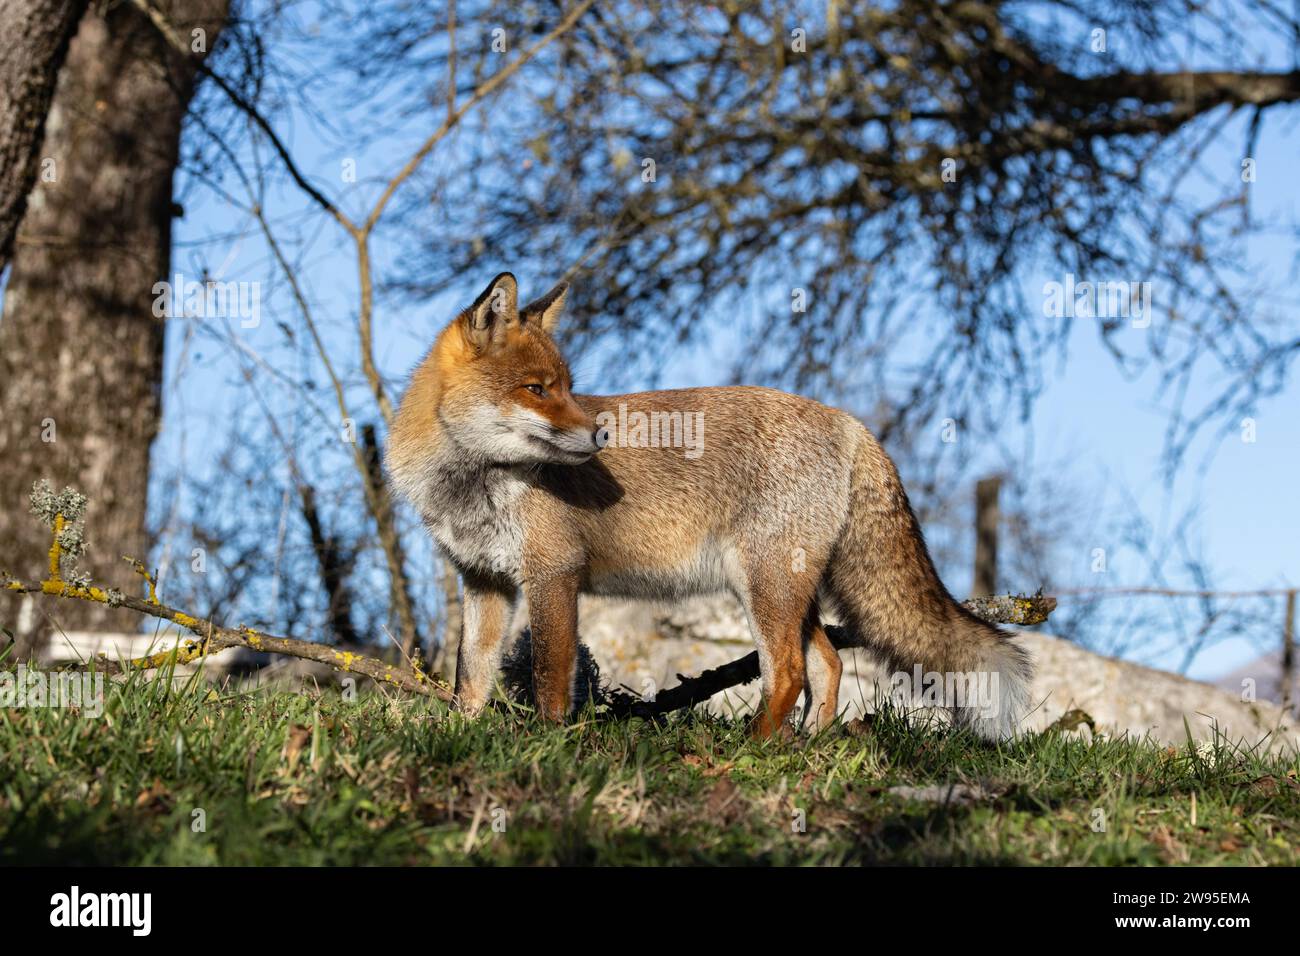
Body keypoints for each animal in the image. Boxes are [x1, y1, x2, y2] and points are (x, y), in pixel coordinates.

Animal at [386, 272, 1032, 739]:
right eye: (536, 390)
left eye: (565, 387)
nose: (600, 434)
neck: (473, 484)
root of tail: (848, 421)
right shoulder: (484, 580)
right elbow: (470, 675)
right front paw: (463, 734)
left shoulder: (553, 573)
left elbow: (549, 675)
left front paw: (547, 743)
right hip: (789, 589)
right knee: (827, 665)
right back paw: (806, 745)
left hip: (762, 583)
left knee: (788, 671)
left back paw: (757, 746)